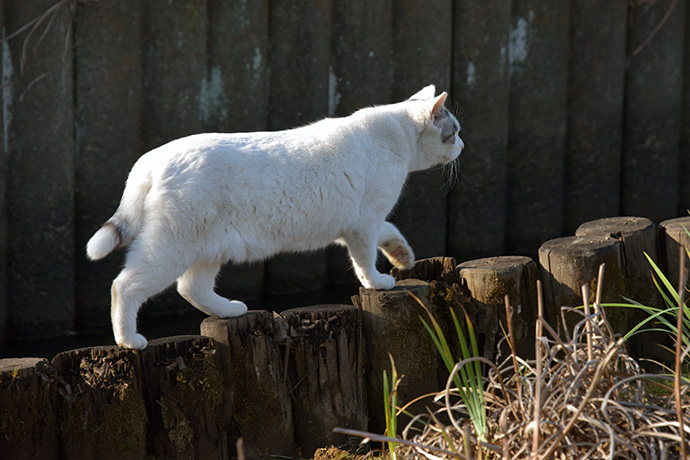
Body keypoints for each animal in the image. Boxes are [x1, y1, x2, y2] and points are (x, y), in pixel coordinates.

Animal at [86, 85, 462, 348]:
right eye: (454, 132)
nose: (462, 146)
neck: (397, 134)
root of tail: (151, 158)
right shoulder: (363, 225)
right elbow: (366, 262)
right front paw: (378, 282)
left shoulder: (362, 223)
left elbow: (391, 230)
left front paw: (402, 256)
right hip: (170, 247)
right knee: (124, 286)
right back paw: (128, 340)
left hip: (208, 248)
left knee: (191, 287)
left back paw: (229, 310)